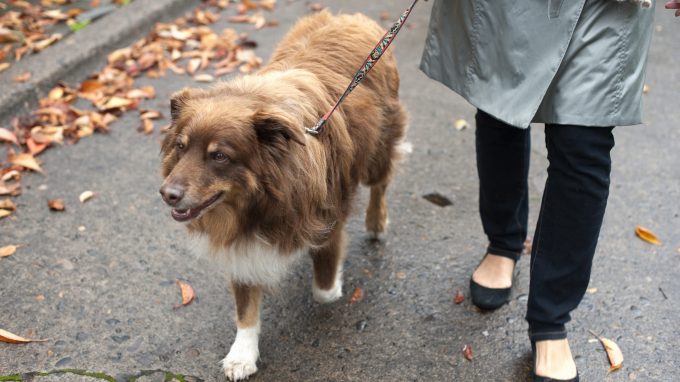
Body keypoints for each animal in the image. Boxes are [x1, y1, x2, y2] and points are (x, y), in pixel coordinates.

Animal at [158, 8, 410, 380]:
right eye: (180, 146)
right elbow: (245, 307)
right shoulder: (241, 244)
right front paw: (242, 354)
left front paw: (332, 282)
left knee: (380, 183)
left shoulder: (327, 217)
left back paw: (376, 223)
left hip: (379, 145)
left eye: (219, 156)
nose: (167, 194)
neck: (258, 201)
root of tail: (350, 16)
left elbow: (324, 290)